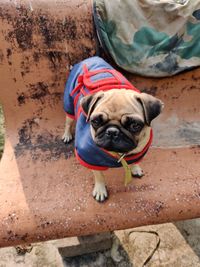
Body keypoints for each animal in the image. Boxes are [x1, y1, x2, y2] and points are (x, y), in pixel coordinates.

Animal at [63, 57, 164, 203]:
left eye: (134, 125)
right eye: (96, 121)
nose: (112, 131)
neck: (120, 154)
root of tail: (90, 59)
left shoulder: (139, 151)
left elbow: (135, 160)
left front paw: (135, 168)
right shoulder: (90, 158)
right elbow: (99, 175)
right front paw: (100, 190)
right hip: (69, 103)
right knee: (68, 121)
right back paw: (66, 135)